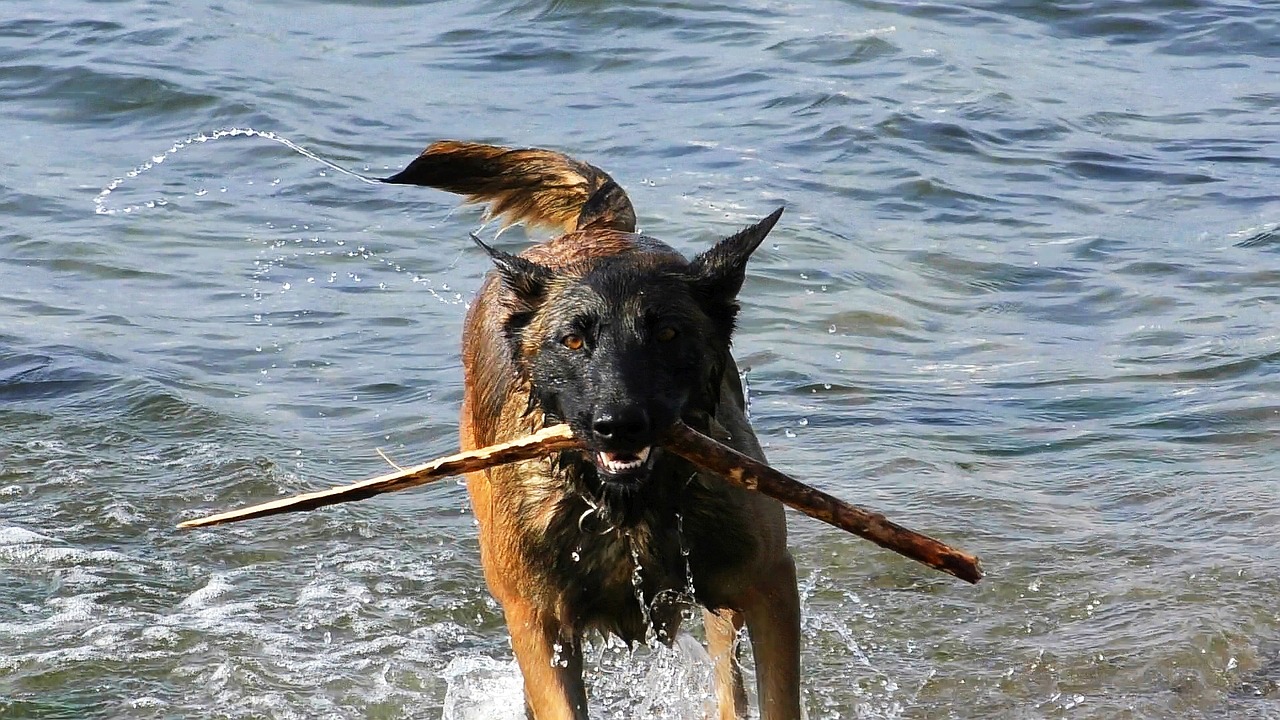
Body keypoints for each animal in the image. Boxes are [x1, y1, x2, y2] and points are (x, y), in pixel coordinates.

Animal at [381, 141, 798, 717]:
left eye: (667, 335)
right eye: (574, 341)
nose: (618, 426)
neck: (629, 511)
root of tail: (595, 230)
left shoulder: (769, 586)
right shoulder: (540, 626)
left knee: (727, 681)